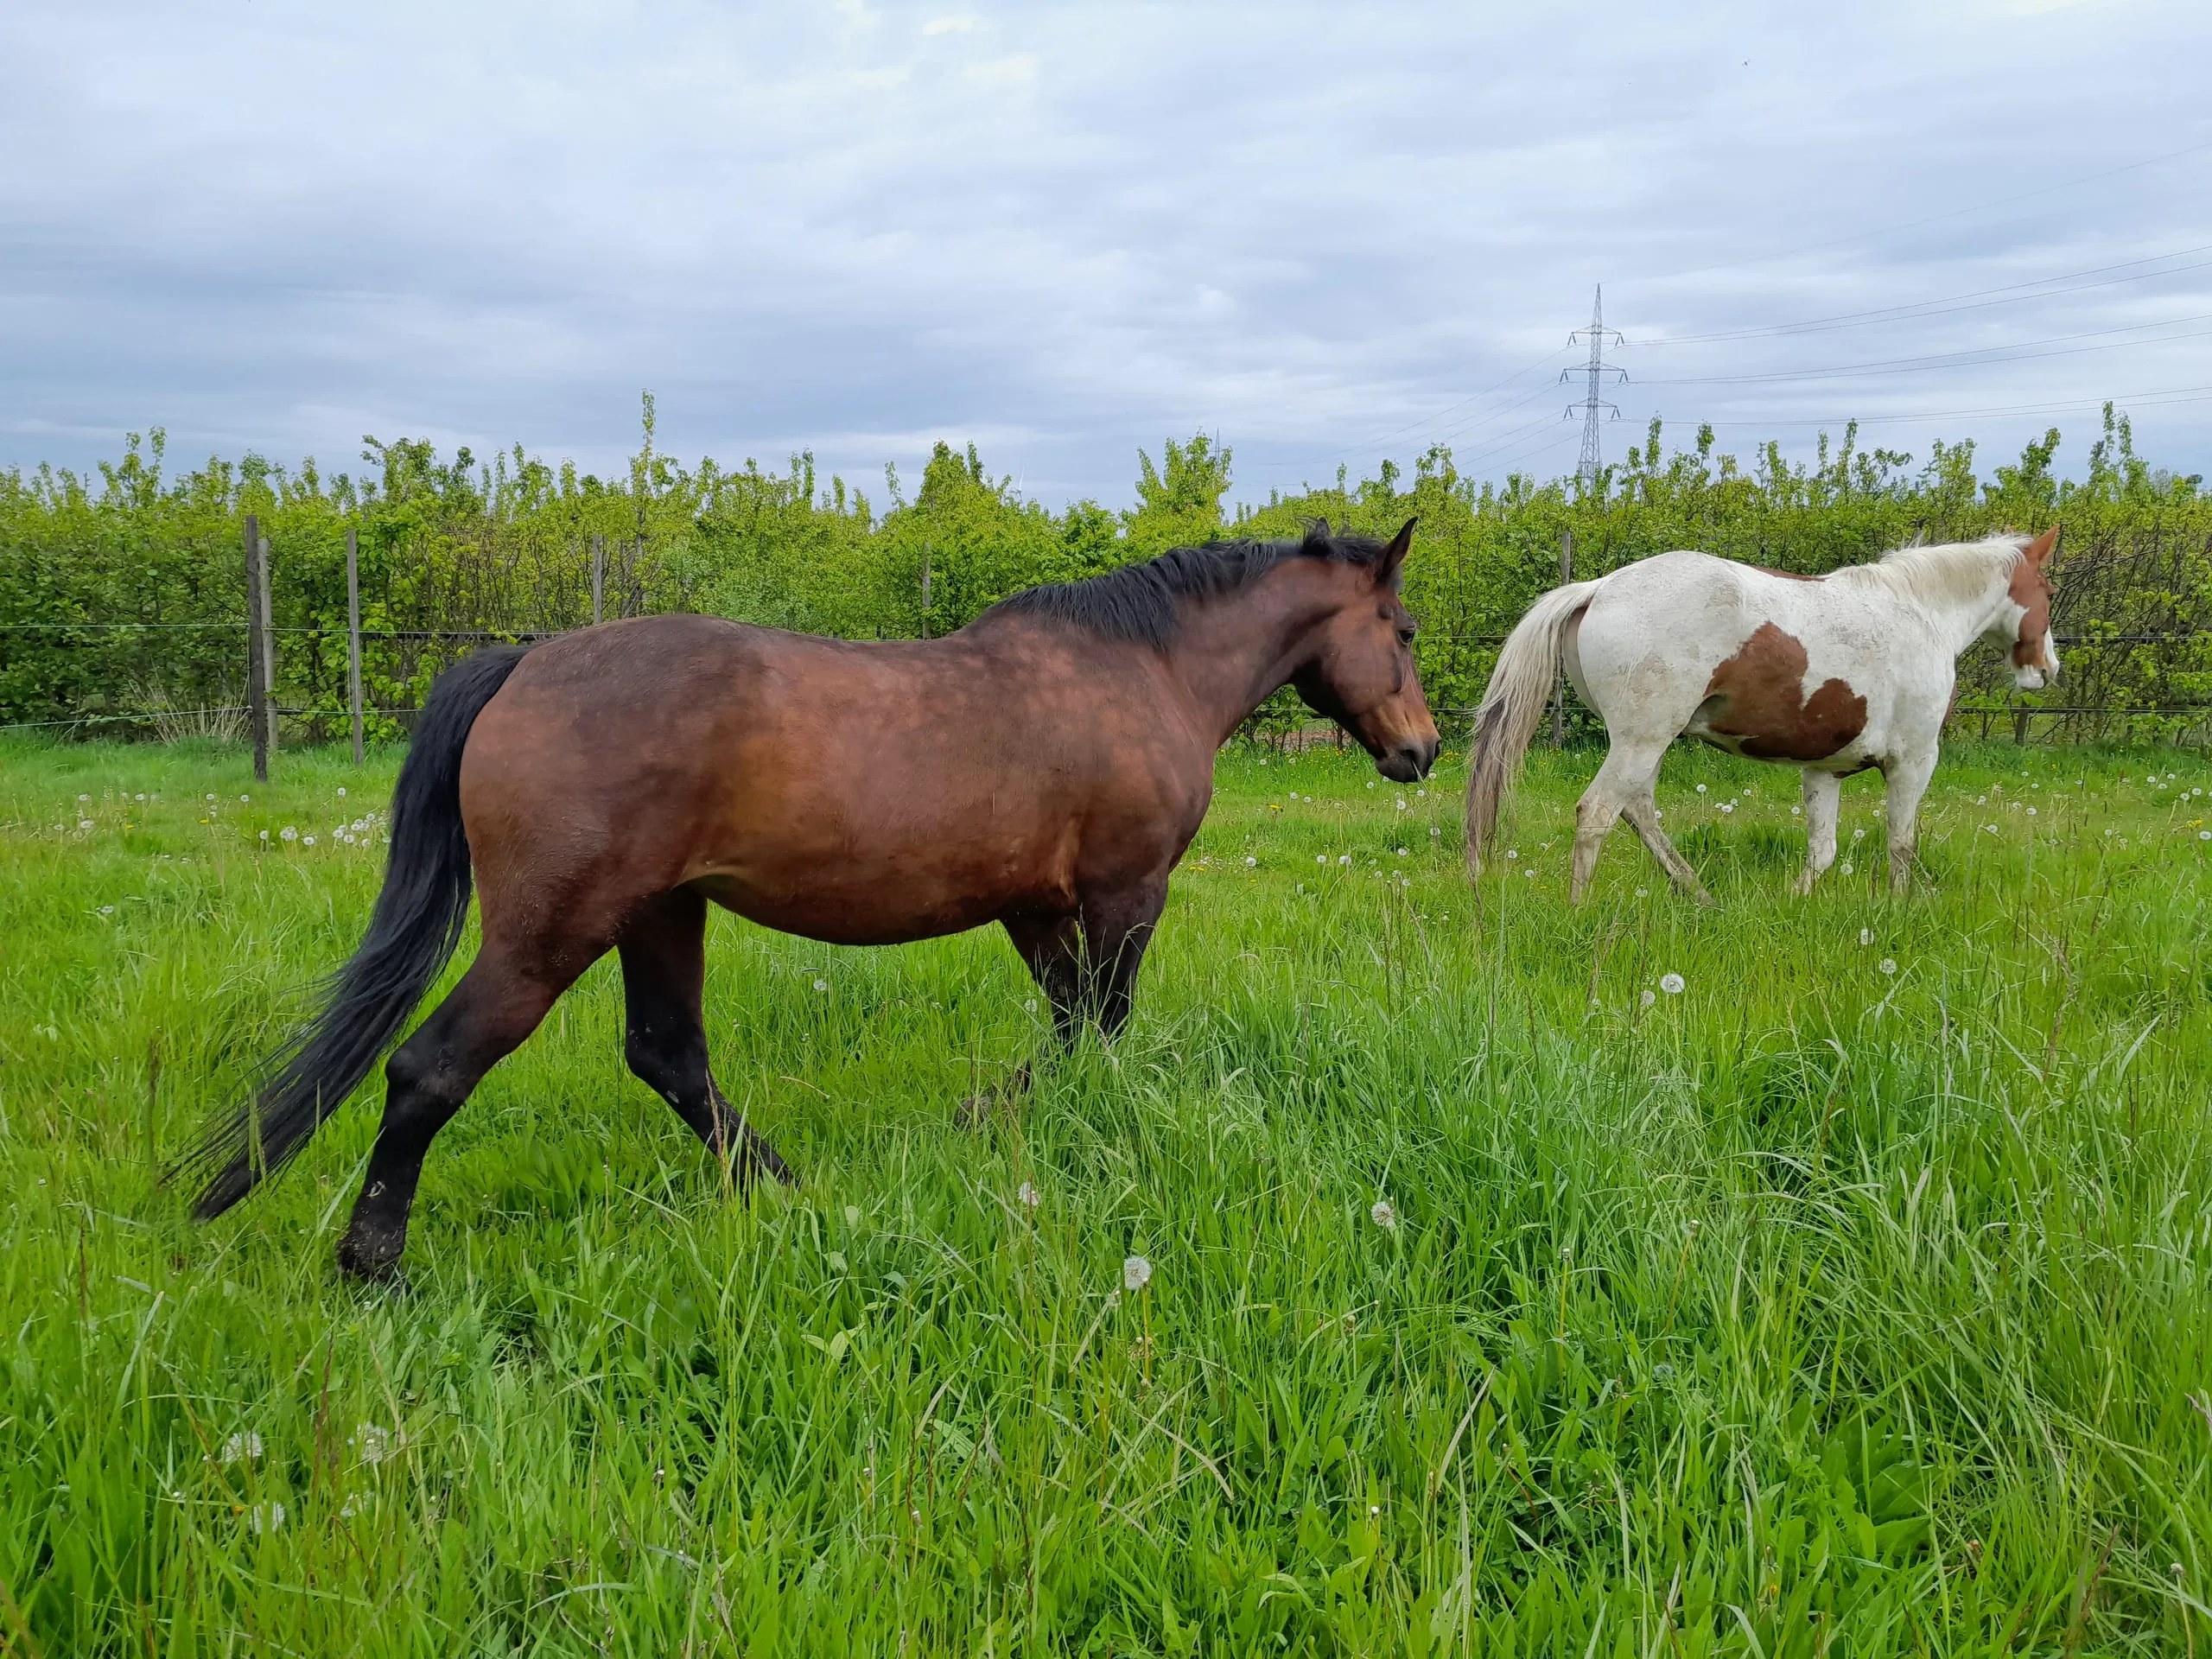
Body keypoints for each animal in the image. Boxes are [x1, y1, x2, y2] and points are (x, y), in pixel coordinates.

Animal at [174, 520, 1438, 1279]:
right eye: (1405, 629)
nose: (1421, 749)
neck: (1142, 671)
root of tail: (524, 663)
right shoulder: (1125, 893)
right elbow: (1102, 1032)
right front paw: (1016, 1125)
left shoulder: (1037, 908)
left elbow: (1071, 1029)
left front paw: (992, 1123)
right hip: (550, 933)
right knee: (430, 1067)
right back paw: (372, 1261)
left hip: (659, 914)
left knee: (667, 1056)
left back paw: (784, 1192)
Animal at [1462, 528, 2059, 902]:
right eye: (2049, 591)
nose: (2047, 669)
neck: (1920, 612)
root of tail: (1600, 587)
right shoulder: (1913, 761)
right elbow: (1901, 844)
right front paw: (1898, 909)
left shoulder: (1824, 771)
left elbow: (1823, 852)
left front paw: (1794, 903)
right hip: (1642, 740)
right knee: (1599, 813)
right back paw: (1580, 909)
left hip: (1645, 744)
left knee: (1639, 811)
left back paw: (1701, 897)